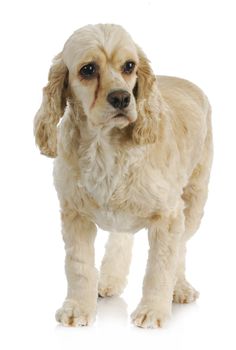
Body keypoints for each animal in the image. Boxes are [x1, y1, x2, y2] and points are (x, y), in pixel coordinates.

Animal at [34, 24, 213, 328]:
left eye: (129, 66)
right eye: (88, 69)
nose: (121, 98)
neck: (104, 146)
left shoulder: (169, 215)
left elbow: (161, 266)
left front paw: (153, 311)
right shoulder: (74, 213)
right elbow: (78, 266)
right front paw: (77, 308)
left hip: (194, 201)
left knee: (181, 248)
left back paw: (180, 288)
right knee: (121, 238)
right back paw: (109, 280)